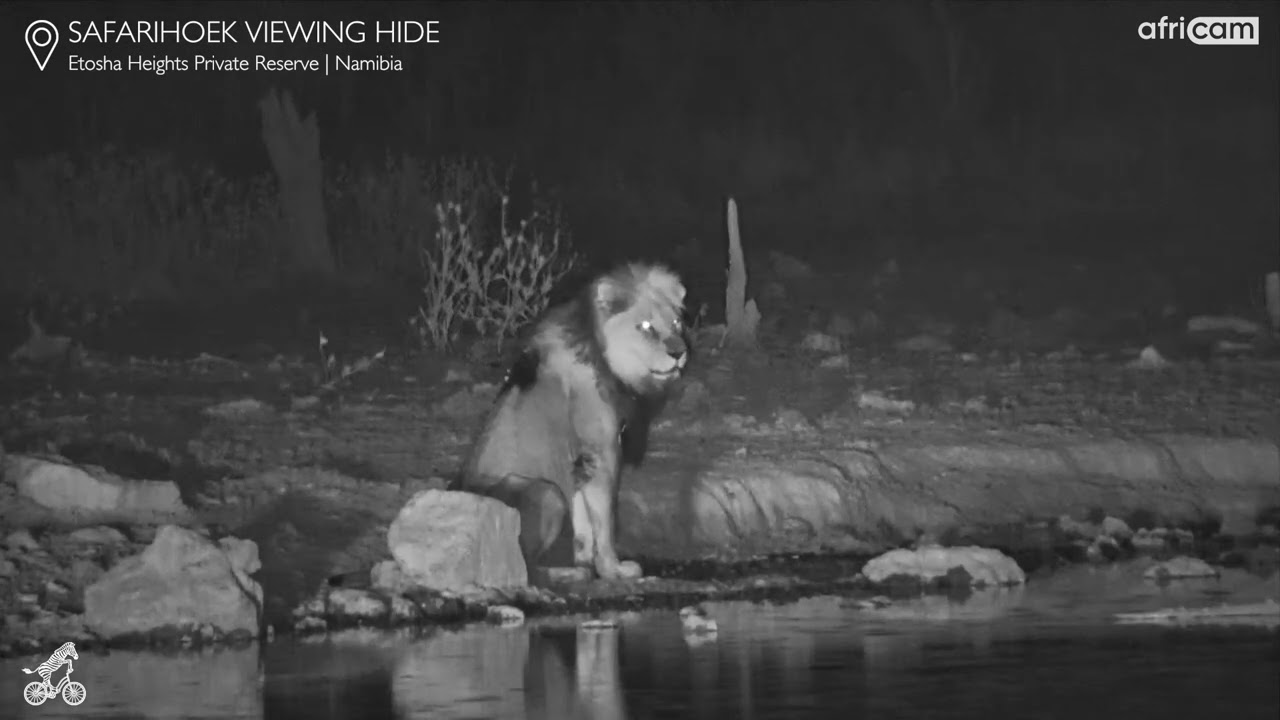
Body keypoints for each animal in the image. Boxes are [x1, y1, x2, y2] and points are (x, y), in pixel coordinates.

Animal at [459, 262, 689, 581]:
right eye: (646, 327)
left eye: (677, 324)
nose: (679, 353)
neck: (605, 359)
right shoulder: (601, 453)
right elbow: (605, 522)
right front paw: (613, 569)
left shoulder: (578, 462)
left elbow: (584, 521)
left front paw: (585, 560)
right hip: (546, 493)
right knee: (526, 568)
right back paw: (568, 574)